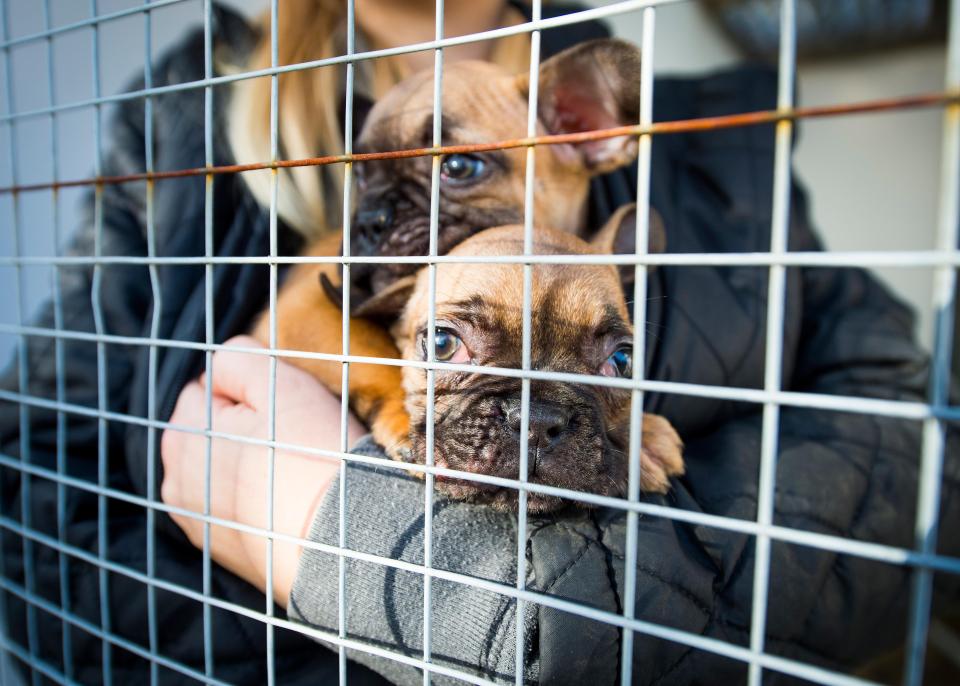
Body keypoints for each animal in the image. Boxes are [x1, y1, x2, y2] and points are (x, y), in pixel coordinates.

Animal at [255, 40, 644, 462]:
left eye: (458, 166)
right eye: (359, 176)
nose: (370, 219)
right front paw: (404, 419)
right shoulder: (305, 307)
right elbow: (372, 350)